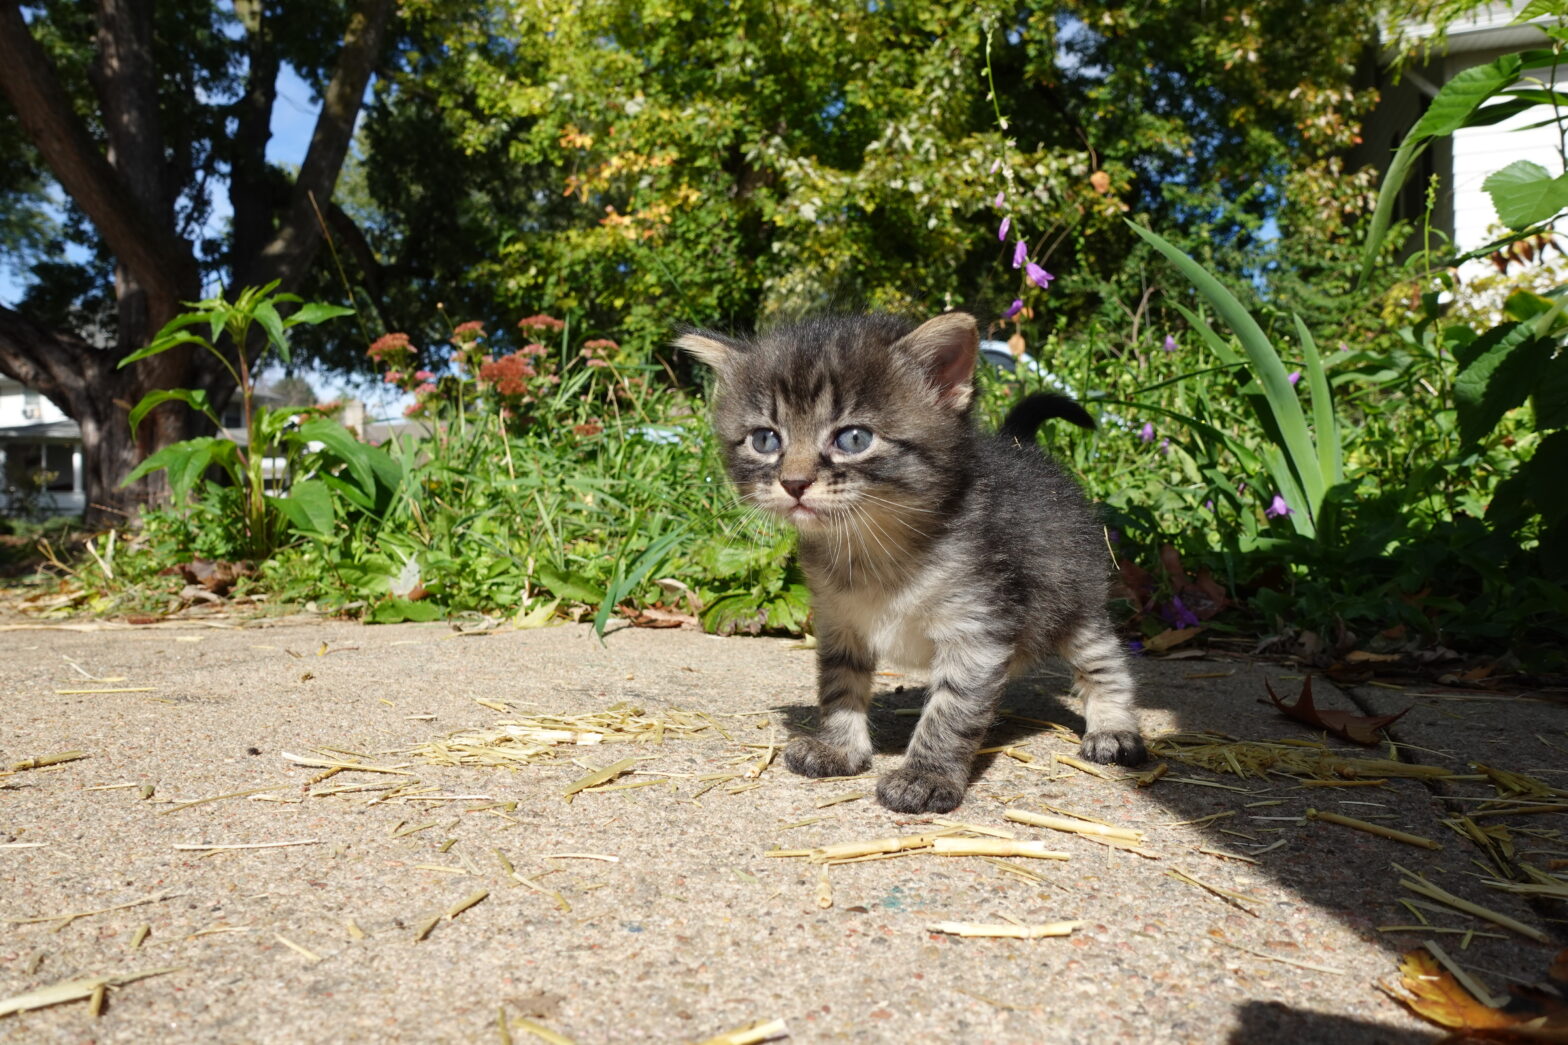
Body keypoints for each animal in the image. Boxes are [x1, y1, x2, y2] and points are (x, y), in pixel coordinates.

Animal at [680, 309, 1147, 815]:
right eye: (765, 439)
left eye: (854, 438)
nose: (794, 482)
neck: (875, 550)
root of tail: (1020, 448)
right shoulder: (839, 622)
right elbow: (839, 686)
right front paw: (839, 748)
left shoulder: (975, 631)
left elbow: (951, 710)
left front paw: (926, 775)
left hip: (1077, 603)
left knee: (1105, 663)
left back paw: (1113, 729)